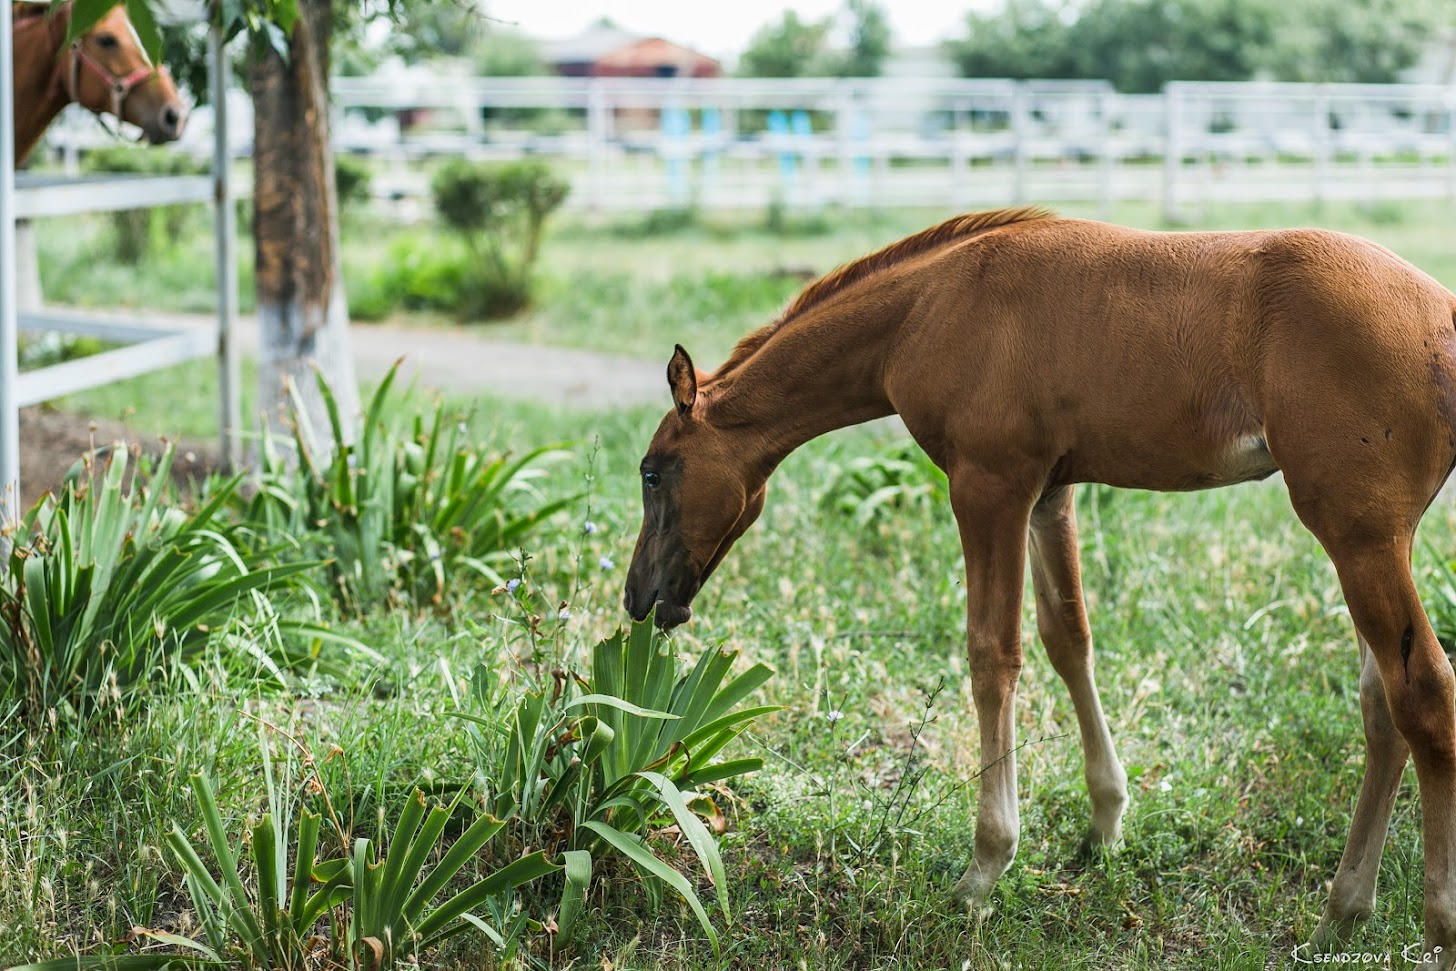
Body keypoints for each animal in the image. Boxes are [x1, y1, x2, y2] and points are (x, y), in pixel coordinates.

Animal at [628, 206, 1456, 966]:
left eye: (652, 471)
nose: (640, 598)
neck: (930, 305)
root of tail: (1442, 319)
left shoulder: (988, 484)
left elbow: (993, 653)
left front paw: (984, 868)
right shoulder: (1050, 491)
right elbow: (1069, 639)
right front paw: (1105, 824)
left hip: (1358, 533)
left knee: (1422, 693)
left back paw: (1431, 928)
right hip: (1365, 538)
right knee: (1380, 704)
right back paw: (1339, 916)